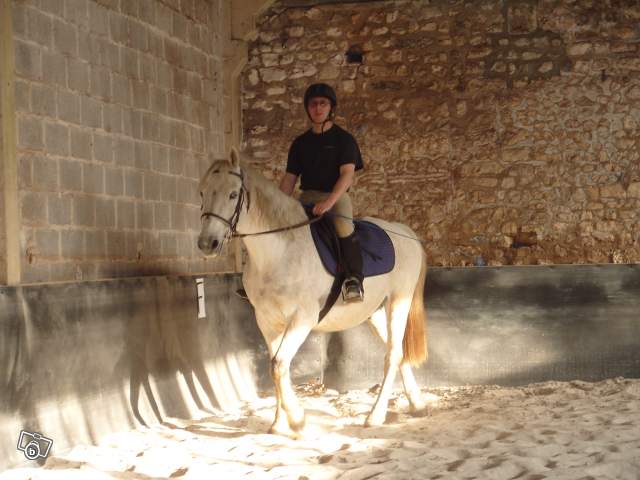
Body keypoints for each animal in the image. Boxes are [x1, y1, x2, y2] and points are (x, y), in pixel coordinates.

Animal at [197, 148, 428, 437]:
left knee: (393, 353)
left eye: (231, 194)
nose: (207, 244)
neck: (279, 251)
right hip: (374, 312)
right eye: (202, 193)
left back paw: (375, 416)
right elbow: (276, 365)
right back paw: (417, 404)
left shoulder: (303, 318)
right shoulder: (266, 320)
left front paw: (297, 420)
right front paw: (279, 423)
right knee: (397, 351)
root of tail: (405, 232)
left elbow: (279, 365)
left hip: (399, 301)